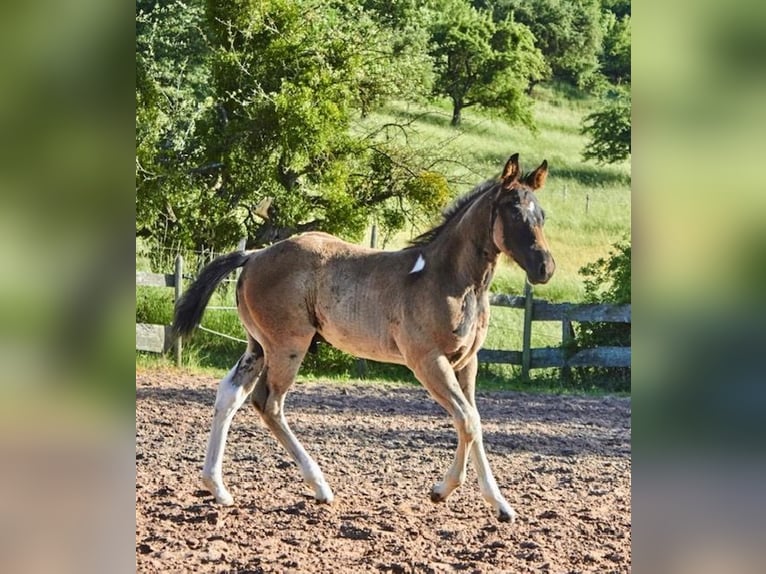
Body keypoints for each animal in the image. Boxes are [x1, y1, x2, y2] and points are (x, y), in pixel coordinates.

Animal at [173, 153, 555, 522]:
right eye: (513, 211)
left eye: (542, 214)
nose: (545, 268)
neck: (450, 279)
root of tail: (254, 255)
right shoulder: (428, 361)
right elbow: (467, 420)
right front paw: (449, 492)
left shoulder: (466, 361)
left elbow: (472, 422)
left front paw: (493, 503)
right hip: (287, 346)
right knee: (269, 403)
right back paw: (320, 487)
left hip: (258, 346)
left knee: (230, 394)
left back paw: (218, 488)